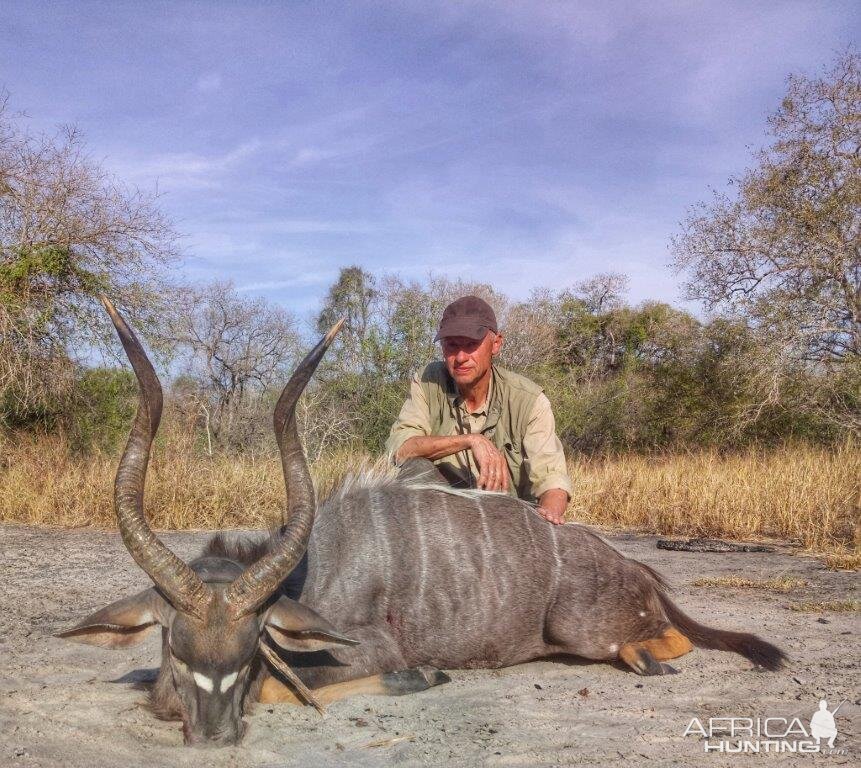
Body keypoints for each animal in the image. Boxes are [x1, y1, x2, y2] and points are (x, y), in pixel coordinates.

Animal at [58, 296, 788, 748]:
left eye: (251, 646)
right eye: (173, 644)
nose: (213, 734)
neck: (310, 574)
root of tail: (632, 565)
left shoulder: (364, 651)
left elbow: (296, 688)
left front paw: (425, 678)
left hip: (583, 630)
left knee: (665, 642)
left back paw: (643, 656)